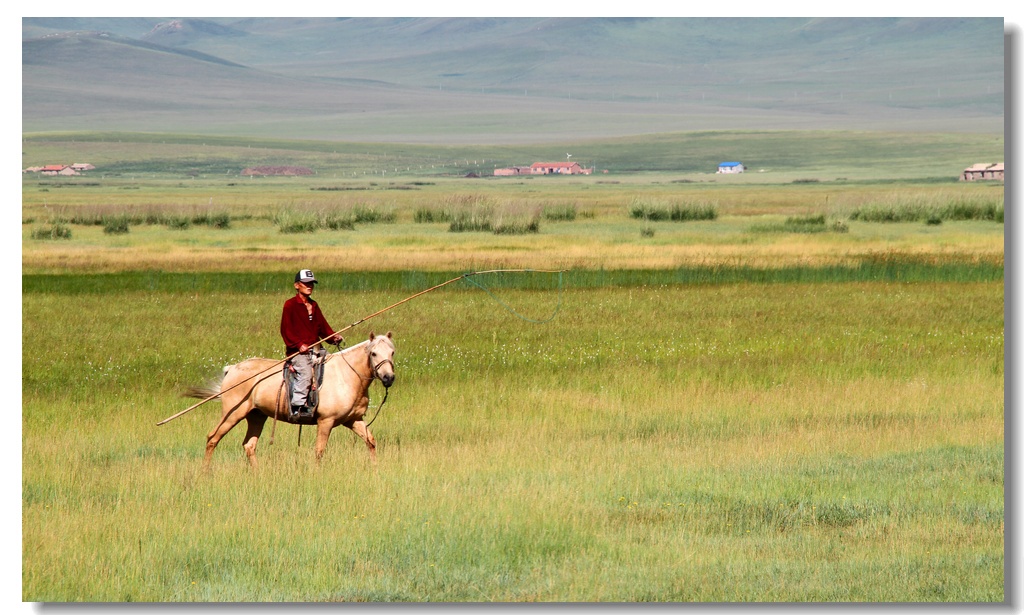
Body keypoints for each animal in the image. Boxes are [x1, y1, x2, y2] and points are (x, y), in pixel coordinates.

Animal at [184, 333, 395, 468]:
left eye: (392, 352)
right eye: (374, 353)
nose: (388, 378)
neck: (347, 374)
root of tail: (232, 368)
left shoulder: (353, 420)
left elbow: (371, 442)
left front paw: (375, 470)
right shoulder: (326, 421)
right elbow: (319, 451)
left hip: (256, 416)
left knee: (249, 445)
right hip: (232, 413)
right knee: (213, 438)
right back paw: (205, 473)